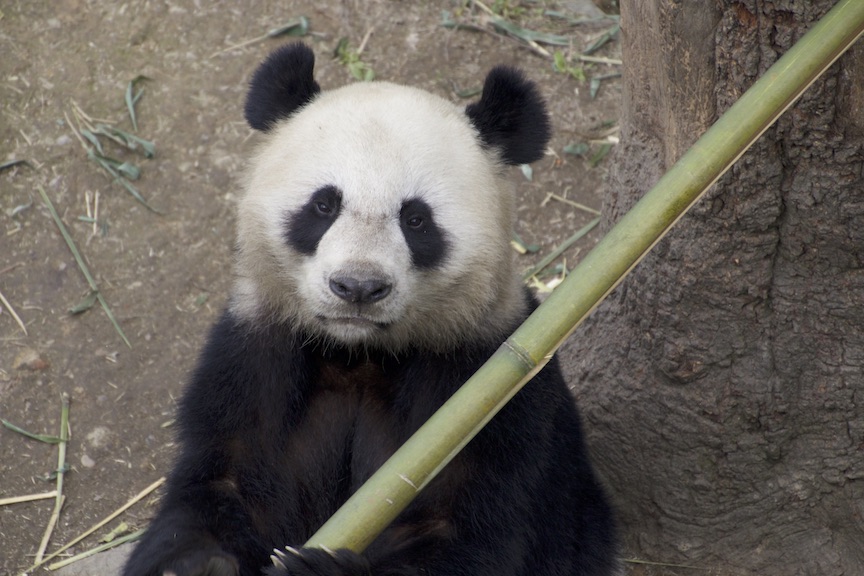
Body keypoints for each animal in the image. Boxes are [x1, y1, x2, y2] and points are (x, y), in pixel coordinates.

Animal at [123, 41, 620, 576]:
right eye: (323, 205)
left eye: (416, 219)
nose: (358, 287)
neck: (358, 352)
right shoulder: (255, 356)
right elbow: (223, 485)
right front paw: (197, 563)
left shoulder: (486, 387)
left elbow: (470, 533)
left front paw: (317, 568)